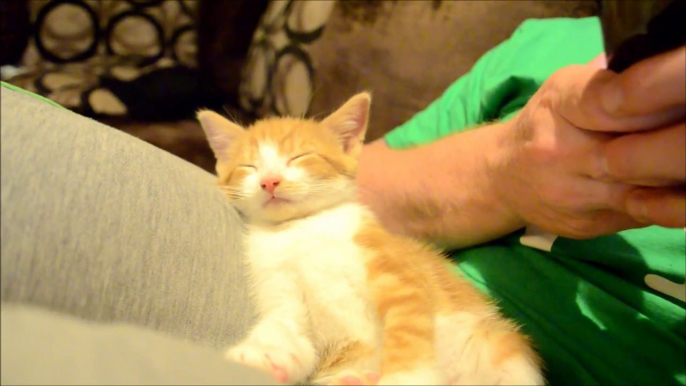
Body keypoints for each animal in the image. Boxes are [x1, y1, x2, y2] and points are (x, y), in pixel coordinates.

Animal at [199, 93, 548, 386]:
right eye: (248, 166)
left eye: (301, 157)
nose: (270, 181)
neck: (300, 229)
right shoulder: (279, 284)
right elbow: (288, 329)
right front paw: (263, 354)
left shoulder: (393, 268)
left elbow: (407, 327)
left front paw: (404, 379)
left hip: (505, 351)